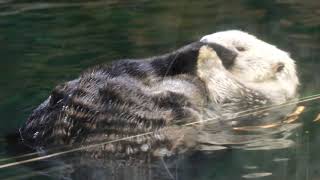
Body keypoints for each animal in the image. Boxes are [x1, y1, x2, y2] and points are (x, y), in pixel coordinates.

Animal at [18, 30, 298, 160]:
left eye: (241, 48)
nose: (207, 41)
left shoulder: (254, 101)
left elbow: (226, 88)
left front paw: (209, 56)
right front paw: (198, 49)